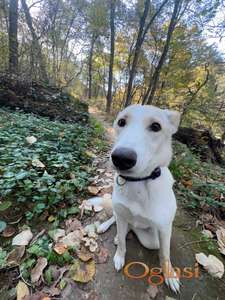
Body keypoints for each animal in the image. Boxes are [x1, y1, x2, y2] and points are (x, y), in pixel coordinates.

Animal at [89, 105, 180, 292]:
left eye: (156, 126)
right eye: (121, 122)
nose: (122, 158)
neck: (138, 182)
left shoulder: (165, 228)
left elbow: (165, 254)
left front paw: (170, 274)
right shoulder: (121, 213)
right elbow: (123, 244)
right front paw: (119, 256)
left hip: (150, 240)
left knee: (131, 229)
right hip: (119, 213)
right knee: (116, 219)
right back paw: (108, 228)